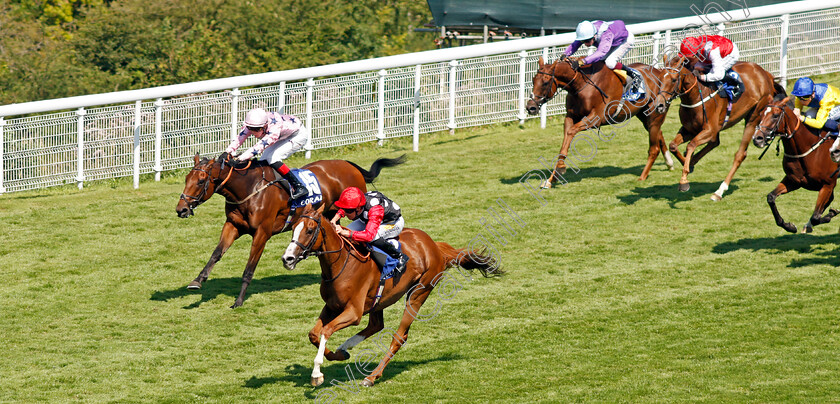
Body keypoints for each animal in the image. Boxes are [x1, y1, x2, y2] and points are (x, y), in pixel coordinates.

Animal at [176, 153, 406, 308]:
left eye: (200, 181)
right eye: (186, 179)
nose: (181, 209)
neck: (250, 189)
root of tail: (348, 164)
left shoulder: (262, 233)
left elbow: (249, 268)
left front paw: (238, 301)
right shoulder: (233, 225)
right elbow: (216, 253)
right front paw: (197, 281)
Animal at [278, 207, 502, 386]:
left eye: (309, 230)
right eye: (293, 228)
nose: (287, 258)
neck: (341, 264)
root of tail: (435, 246)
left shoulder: (353, 312)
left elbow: (326, 331)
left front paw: (317, 373)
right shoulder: (332, 306)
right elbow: (315, 334)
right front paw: (337, 355)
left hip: (418, 293)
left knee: (399, 336)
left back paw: (372, 377)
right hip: (379, 301)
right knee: (376, 325)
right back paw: (345, 348)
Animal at [528, 56, 672, 187]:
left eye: (545, 82)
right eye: (533, 80)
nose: (530, 107)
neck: (580, 84)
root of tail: (660, 73)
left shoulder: (595, 118)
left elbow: (571, 132)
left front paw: (560, 168)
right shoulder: (570, 117)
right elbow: (564, 143)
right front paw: (551, 179)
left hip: (654, 114)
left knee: (654, 147)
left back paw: (643, 176)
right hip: (644, 115)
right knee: (659, 134)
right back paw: (670, 163)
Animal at [648, 56, 788, 201]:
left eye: (674, 79)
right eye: (660, 79)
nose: (659, 105)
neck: (695, 96)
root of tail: (766, 74)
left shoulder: (709, 130)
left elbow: (691, 145)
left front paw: (684, 180)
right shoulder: (690, 130)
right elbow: (673, 146)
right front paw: (688, 163)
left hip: (753, 116)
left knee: (739, 154)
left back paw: (719, 191)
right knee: (715, 142)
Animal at [752, 95, 836, 234]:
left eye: (775, 115)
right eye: (760, 114)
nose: (757, 139)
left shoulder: (828, 185)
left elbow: (816, 217)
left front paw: (830, 214)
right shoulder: (794, 181)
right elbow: (771, 197)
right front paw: (789, 226)